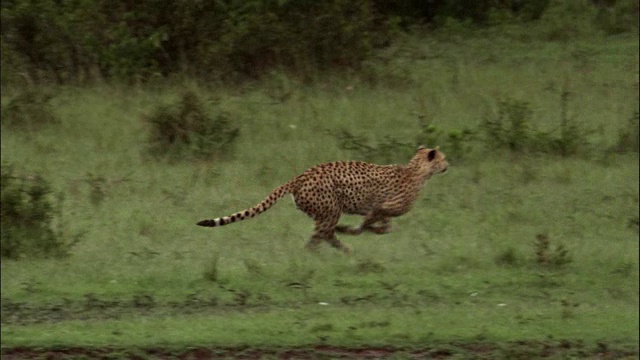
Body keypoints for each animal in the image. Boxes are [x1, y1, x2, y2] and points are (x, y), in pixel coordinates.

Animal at [198, 146, 448, 253]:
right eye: (443, 158)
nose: (448, 164)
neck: (417, 171)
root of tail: (299, 176)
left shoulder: (381, 211)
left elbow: (383, 227)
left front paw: (364, 230)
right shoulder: (379, 207)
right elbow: (369, 224)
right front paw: (355, 230)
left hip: (323, 212)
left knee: (323, 235)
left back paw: (343, 250)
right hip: (331, 209)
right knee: (320, 236)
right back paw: (326, 253)